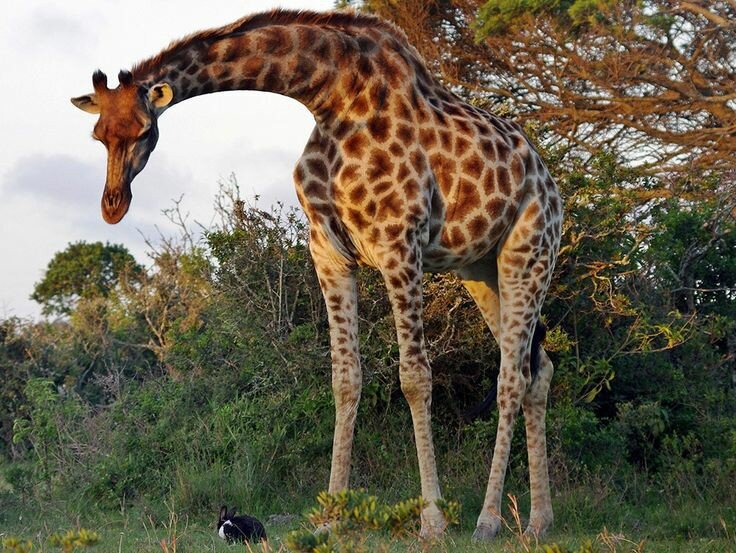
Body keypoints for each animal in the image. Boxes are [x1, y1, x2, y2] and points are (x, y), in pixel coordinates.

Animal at [72, 8, 560, 540]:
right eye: (98, 135)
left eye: (144, 130)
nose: (112, 207)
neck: (330, 97)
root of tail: (549, 184)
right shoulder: (328, 252)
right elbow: (345, 380)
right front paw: (331, 517)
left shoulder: (399, 243)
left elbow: (414, 378)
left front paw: (432, 520)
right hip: (479, 269)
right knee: (538, 369)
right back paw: (539, 521)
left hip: (527, 254)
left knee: (511, 377)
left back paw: (488, 521)